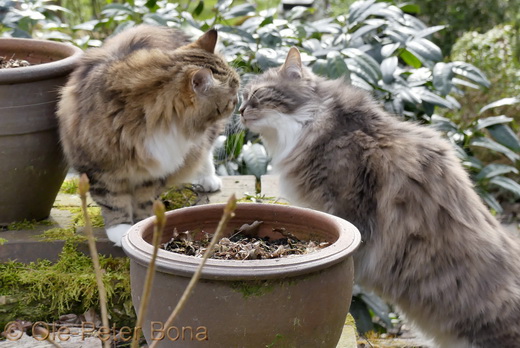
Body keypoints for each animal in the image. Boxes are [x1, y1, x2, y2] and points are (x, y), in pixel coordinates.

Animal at [57, 24, 240, 246]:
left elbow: (144, 200)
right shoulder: (98, 167)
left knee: (205, 152)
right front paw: (121, 228)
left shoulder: (154, 171)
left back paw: (208, 179)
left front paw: (141, 224)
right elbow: (113, 201)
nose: (239, 102)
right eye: (231, 99)